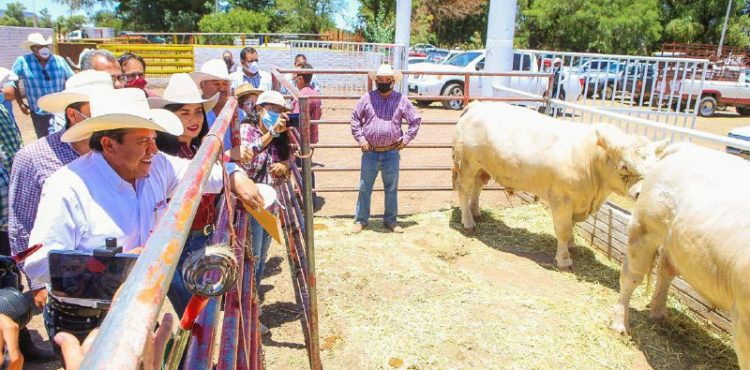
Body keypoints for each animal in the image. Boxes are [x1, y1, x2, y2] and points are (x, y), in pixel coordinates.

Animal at [452, 102, 668, 270]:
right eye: (624, 166)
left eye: (653, 167)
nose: (641, 193)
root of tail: (477, 105)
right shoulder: (562, 200)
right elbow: (563, 229)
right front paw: (564, 259)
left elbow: (572, 226)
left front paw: (572, 244)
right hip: (467, 164)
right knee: (464, 190)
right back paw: (468, 222)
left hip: (482, 167)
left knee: (477, 188)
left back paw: (475, 212)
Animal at [612, 144, 750, 368]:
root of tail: (684, 147)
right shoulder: (744, 320)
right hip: (644, 229)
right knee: (631, 276)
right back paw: (619, 323)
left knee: (665, 271)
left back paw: (658, 313)